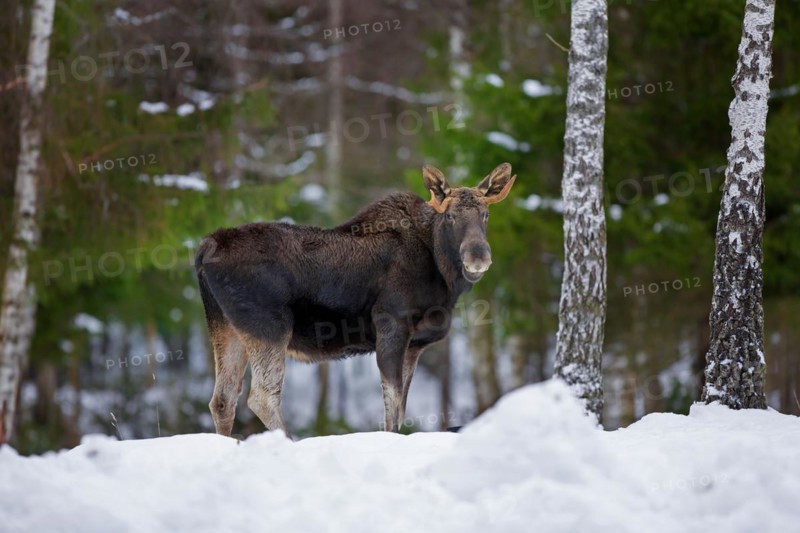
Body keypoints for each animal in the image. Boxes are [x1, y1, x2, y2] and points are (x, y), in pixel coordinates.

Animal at [195, 163, 516, 437]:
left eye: (486, 214)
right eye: (450, 216)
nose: (478, 257)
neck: (442, 274)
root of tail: (206, 247)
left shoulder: (414, 345)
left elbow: (401, 407)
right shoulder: (392, 325)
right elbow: (392, 407)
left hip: (226, 327)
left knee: (222, 399)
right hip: (270, 326)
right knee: (261, 396)